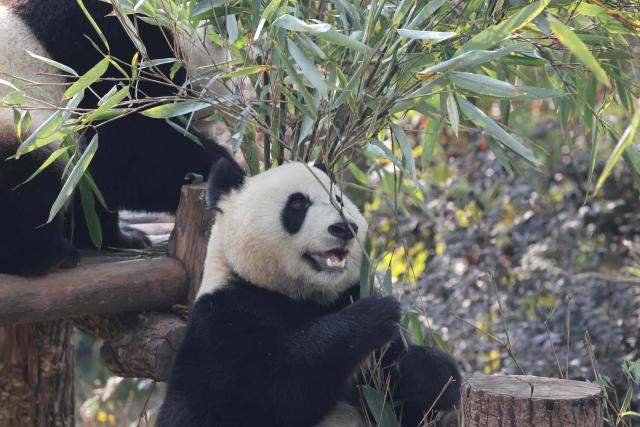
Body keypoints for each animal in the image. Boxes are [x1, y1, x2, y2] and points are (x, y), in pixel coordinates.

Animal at [0, 0, 230, 275]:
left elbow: (94, 187)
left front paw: (122, 238)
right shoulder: (110, 58)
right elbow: (138, 153)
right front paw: (221, 166)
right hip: (18, 125)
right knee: (26, 181)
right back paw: (48, 255)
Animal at [157, 158, 461, 427]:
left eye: (338, 199)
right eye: (298, 203)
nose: (344, 228)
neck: (299, 295)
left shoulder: (357, 312)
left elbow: (406, 404)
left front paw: (426, 372)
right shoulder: (222, 319)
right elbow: (248, 397)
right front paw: (372, 316)